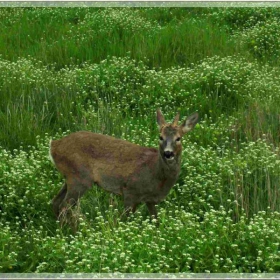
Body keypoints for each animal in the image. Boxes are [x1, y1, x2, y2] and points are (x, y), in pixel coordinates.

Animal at [50, 109, 199, 223]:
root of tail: (54, 145)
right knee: (64, 206)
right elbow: (125, 219)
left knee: (55, 202)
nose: (168, 153)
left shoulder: (150, 199)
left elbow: (155, 221)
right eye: (160, 137)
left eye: (178, 138)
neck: (155, 173)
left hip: (71, 177)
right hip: (80, 177)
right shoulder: (130, 190)